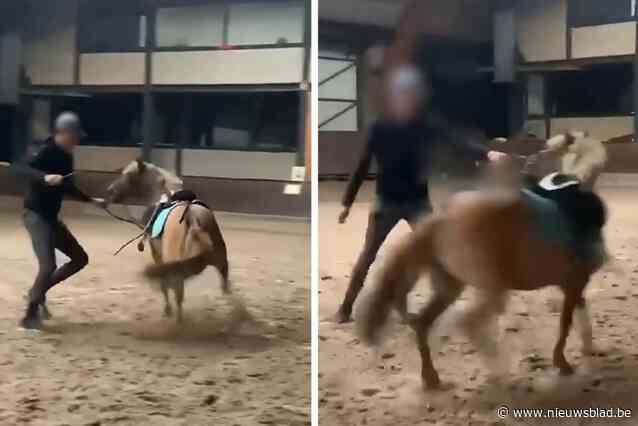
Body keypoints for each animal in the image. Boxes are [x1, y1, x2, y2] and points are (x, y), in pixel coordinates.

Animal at [107, 160, 230, 322]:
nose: (110, 191)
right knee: (225, 285)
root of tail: (192, 216)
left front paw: (167, 310)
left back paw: (178, 321)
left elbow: (164, 286)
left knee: (178, 295)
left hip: (177, 269)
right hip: (220, 261)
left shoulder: (158, 256)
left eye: (128, 175)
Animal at [360, 132, 608, 390]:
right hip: (492, 287)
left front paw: (588, 348)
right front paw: (564, 363)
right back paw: (499, 372)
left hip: (450, 287)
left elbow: (578, 313)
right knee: (468, 323)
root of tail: (440, 222)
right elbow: (566, 322)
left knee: (423, 323)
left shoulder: (570, 283)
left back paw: (432, 378)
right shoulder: (575, 280)